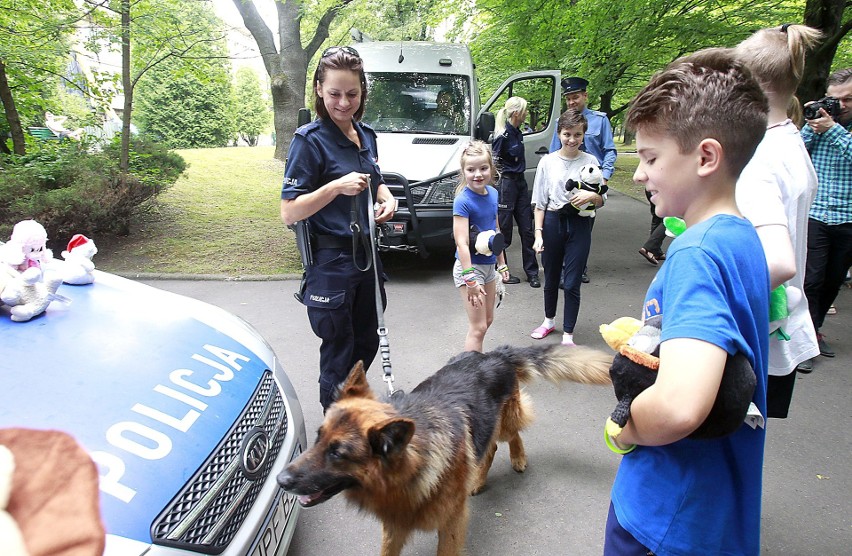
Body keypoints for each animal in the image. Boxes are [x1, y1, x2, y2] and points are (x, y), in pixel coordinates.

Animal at [278, 346, 612, 552]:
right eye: (319, 438)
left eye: (337, 453)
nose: (280, 480)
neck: (413, 466)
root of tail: (493, 353)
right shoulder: (394, 527)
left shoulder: (452, 523)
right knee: (489, 447)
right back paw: (477, 479)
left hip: (505, 419)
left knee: (512, 433)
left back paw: (517, 458)